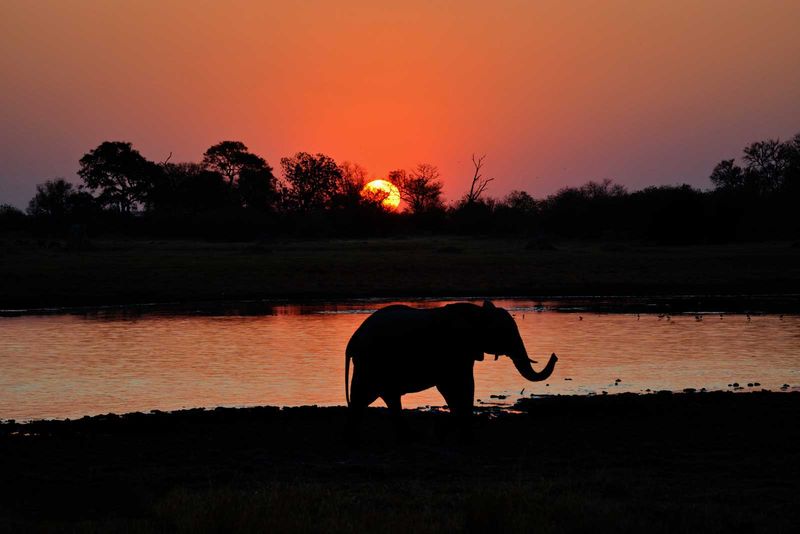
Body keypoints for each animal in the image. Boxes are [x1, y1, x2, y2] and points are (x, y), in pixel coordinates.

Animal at [344, 300, 558, 439]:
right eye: (506, 333)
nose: (555, 355)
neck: (478, 313)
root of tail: (353, 339)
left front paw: (446, 431)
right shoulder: (455, 350)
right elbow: (458, 385)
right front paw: (454, 432)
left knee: (385, 397)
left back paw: (408, 437)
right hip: (371, 362)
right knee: (364, 396)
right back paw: (356, 439)